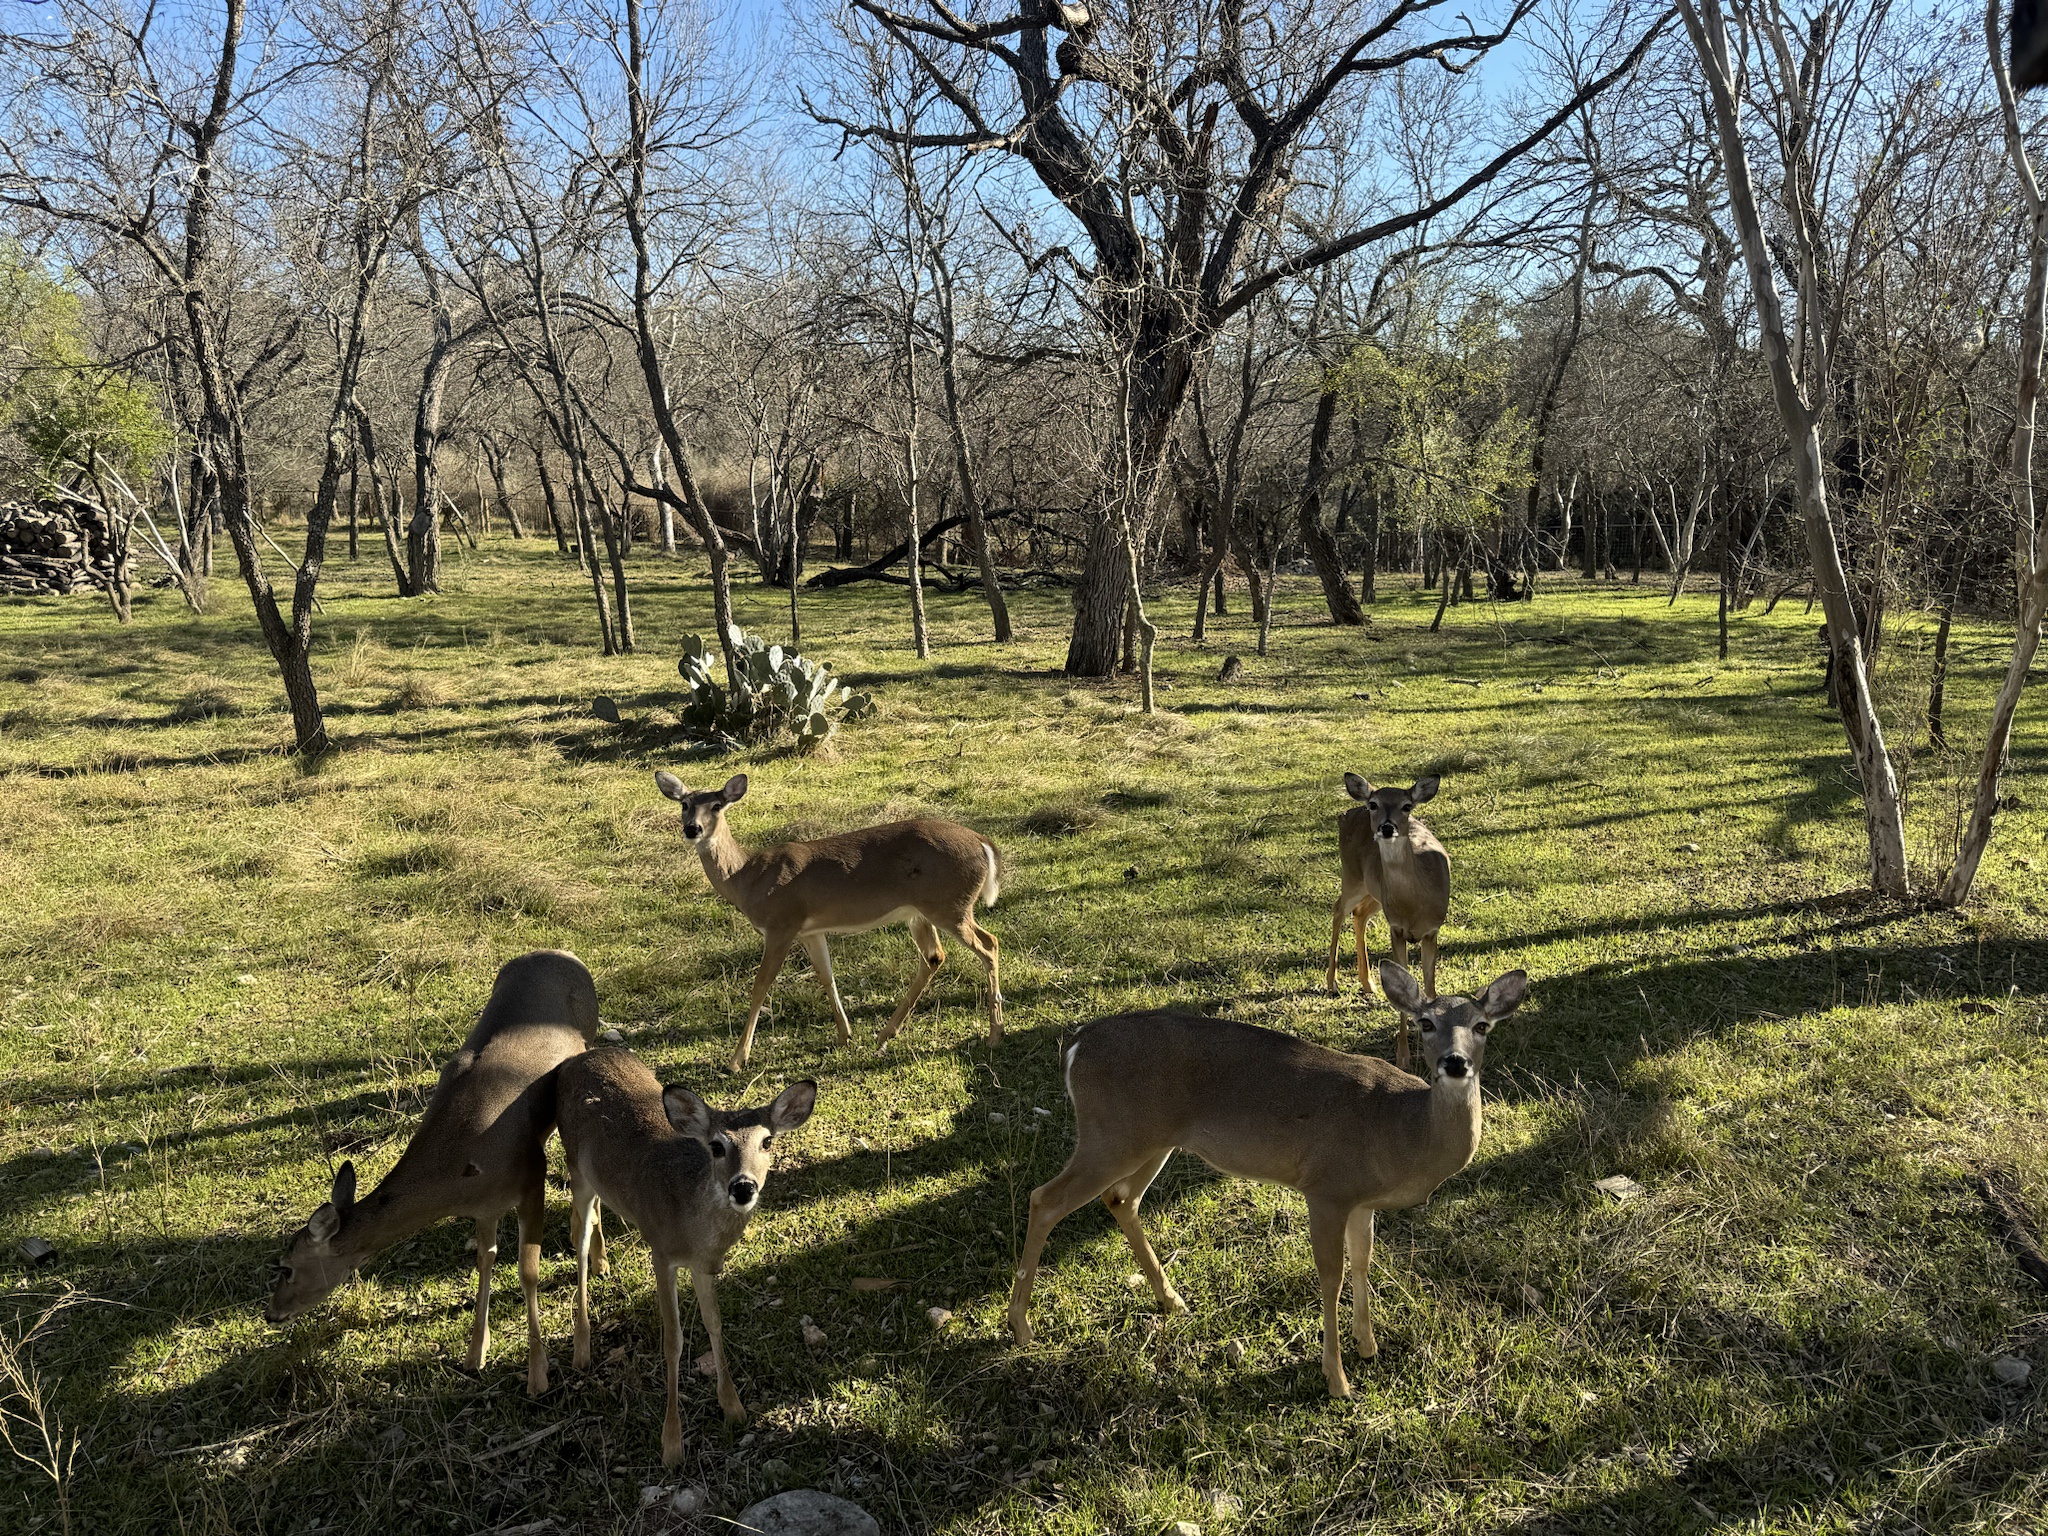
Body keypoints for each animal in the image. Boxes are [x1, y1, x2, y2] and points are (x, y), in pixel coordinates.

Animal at [262, 950, 598, 1392]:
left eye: (286, 1266)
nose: (270, 1312)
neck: (459, 1170)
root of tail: (567, 955)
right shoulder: (486, 1207)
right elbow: (485, 1260)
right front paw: (475, 1355)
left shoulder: (531, 1179)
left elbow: (528, 1272)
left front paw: (537, 1374)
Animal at [561, 1048, 815, 1466]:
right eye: (716, 1146)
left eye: (767, 1142)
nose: (743, 1187)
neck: (690, 1224)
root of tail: (583, 1055)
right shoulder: (661, 1253)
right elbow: (674, 1341)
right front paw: (671, 1443)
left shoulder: (704, 1264)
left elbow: (715, 1324)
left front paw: (733, 1408)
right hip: (574, 1168)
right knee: (577, 1238)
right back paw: (582, 1345)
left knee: (595, 1214)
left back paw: (604, 1263)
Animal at [659, 765, 1003, 1073]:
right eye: (684, 804)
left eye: (717, 805)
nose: (692, 829)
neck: (747, 878)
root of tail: (984, 844)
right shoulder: (810, 930)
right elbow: (827, 975)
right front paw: (844, 1035)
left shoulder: (781, 923)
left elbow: (761, 984)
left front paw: (735, 1060)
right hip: (920, 912)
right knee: (934, 956)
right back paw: (885, 1033)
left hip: (949, 904)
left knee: (989, 944)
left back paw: (994, 1034)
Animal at [1003, 966, 1523, 1400]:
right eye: (1425, 1024)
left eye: (1482, 1026)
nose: (1454, 1063)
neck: (1403, 1132)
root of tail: (1075, 1046)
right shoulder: (1327, 1186)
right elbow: (1331, 1276)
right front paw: (1338, 1380)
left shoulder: (1361, 1199)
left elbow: (1363, 1261)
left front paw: (1368, 1344)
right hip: (1111, 1133)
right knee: (1044, 1199)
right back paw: (1021, 1328)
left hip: (1152, 1140)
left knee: (1120, 1198)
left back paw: (1171, 1300)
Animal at [1318, 770, 1449, 1073]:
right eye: (1374, 804)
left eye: (1407, 806)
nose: (1386, 828)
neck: (1416, 904)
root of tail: (1346, 814)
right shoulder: (1396, 930)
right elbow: (1404, 995)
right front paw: (1403, 1058)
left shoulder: (1432, 931)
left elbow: (1430, 989)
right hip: (1352, 875)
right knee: (1339, 909)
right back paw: (1332, 982)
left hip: (1374, 892)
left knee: (1359, 915)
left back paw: (1368, 983)